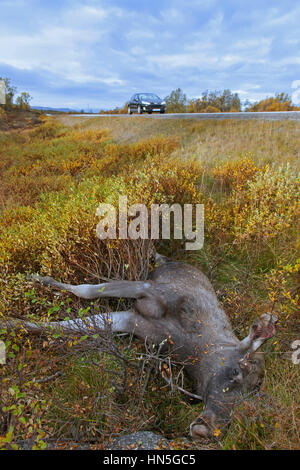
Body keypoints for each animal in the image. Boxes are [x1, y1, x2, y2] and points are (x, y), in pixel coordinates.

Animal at [4, 255, 278, 438]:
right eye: (235, 371)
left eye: (250, 398)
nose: (208, 428)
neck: (189, 346)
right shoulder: (147, 290)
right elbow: (87, 290)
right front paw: (38, 279)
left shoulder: (132, 321)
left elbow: (63, 327)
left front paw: (11, 324)